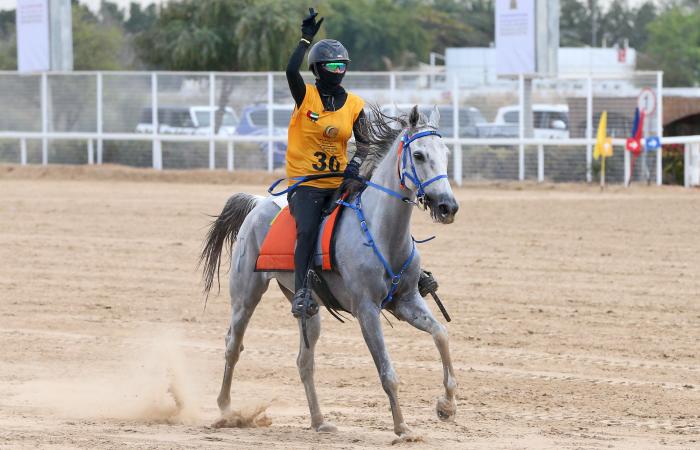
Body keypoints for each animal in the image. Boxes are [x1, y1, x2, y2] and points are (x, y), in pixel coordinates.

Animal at [200, 103, 460, 438]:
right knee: (233, 345)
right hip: (245, 295)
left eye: (446, 152)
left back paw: (319, 420)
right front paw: (402, 427)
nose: (447, 206)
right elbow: (387, 371)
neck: (380, 231)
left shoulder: (407, 301)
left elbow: (441, 334)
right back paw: (226, 410)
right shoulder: (366, 310)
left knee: (304, 361)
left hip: (308, 307)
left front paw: (446, 405)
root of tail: (258, 204)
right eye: (418, 155)